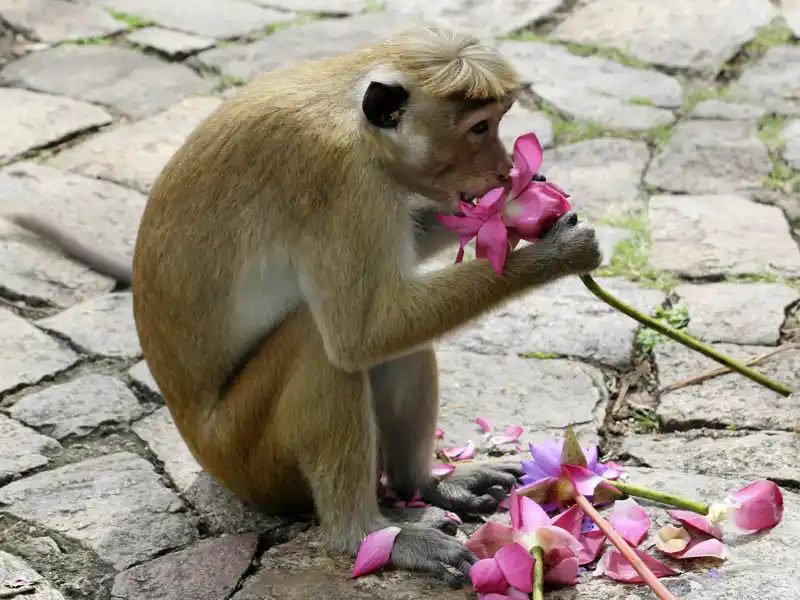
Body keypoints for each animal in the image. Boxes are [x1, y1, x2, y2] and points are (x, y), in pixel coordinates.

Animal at [1, 29, 600, 584]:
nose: (503, 169)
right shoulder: (340, 183)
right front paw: (555, 252)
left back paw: (424, 485)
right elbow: (362, 332)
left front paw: (519, 207)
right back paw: (368, 536)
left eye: (496, 123)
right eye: (479, 127)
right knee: (326, 347)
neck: (355, 119)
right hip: (246, 455)